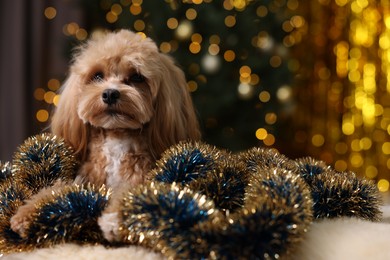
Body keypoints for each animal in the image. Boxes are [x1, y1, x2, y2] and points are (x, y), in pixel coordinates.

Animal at [10, 29, 201, 237]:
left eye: (137, 77)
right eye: (97, 76)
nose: (110, 94)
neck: (117, 138)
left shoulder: (143, 178)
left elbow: (135, 192)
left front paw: (115, 218)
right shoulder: (85, 180)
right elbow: (55, 189)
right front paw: (29, 211)